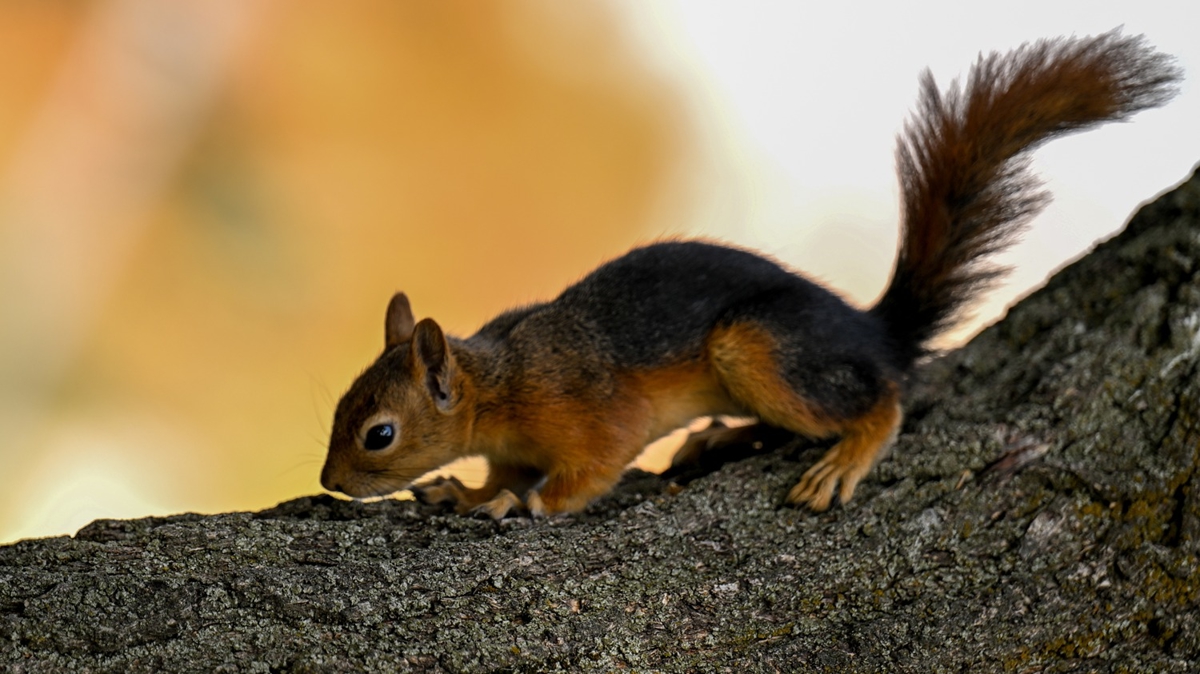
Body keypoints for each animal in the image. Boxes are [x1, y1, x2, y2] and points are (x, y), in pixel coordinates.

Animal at [319, 30, 1180, 513]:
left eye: (379, 433)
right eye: (339, 404)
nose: (328, 480)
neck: (503, 382)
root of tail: (875, 330)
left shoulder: (589, 414)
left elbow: (585, 472)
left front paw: (515, 505)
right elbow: (497, 471)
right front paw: (465, 491)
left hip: (758, 348)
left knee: (882, 398)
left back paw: (841, 458)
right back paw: (718, 439)